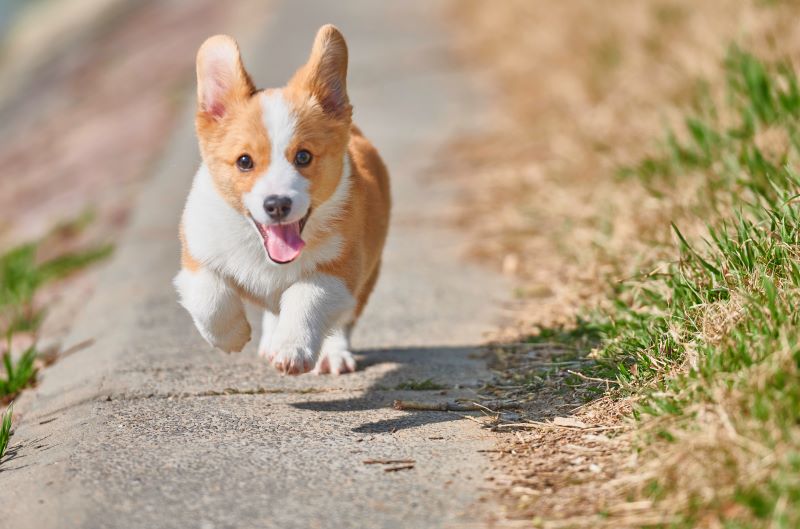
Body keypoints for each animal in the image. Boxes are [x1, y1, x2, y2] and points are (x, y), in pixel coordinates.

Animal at [173, 24, 390, 374]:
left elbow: (305, 297)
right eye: (244, 161)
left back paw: (331, 354)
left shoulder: (340, 270)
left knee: (341, 320)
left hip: (366, 275)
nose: (277, 205)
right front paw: (232, 337)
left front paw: (292, 348)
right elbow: (210, 298)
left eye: (303, 156)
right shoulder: (197, 255)